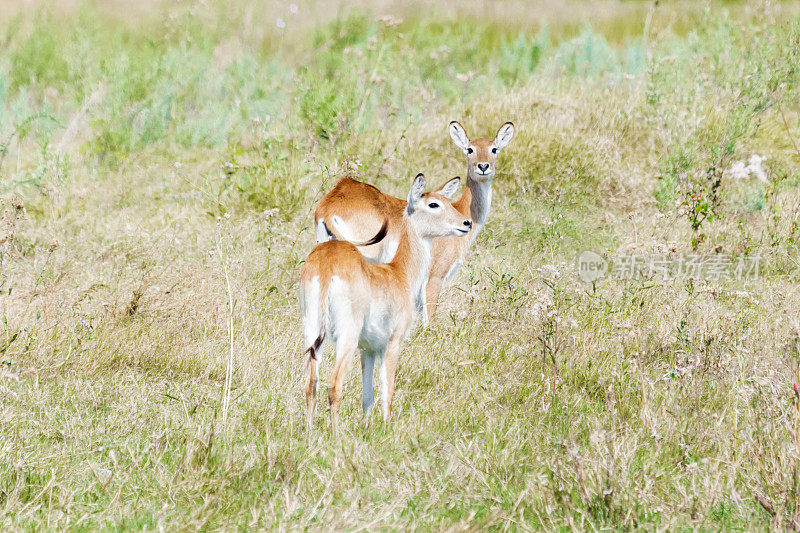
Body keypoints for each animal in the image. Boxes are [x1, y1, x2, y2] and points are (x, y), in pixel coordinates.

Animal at [304, 172, 472, 430]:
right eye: (433, 204)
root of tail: (326, 266)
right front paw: (386, 428)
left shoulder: (368, 350)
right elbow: (388, 389)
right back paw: (336, 435)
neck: (398, 273)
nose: (466, 223)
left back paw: (309, 433)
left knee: (311, 385)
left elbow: (368, 395)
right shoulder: (392, 344)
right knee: (334, 386)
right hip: (346, 338)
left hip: (313, 333)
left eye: (446, 200)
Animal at [312, 120, 512, 320]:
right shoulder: (434, 278)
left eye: (494, 149)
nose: (483, 166)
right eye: (470, 149)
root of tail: (329, 205)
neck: (461, 210)